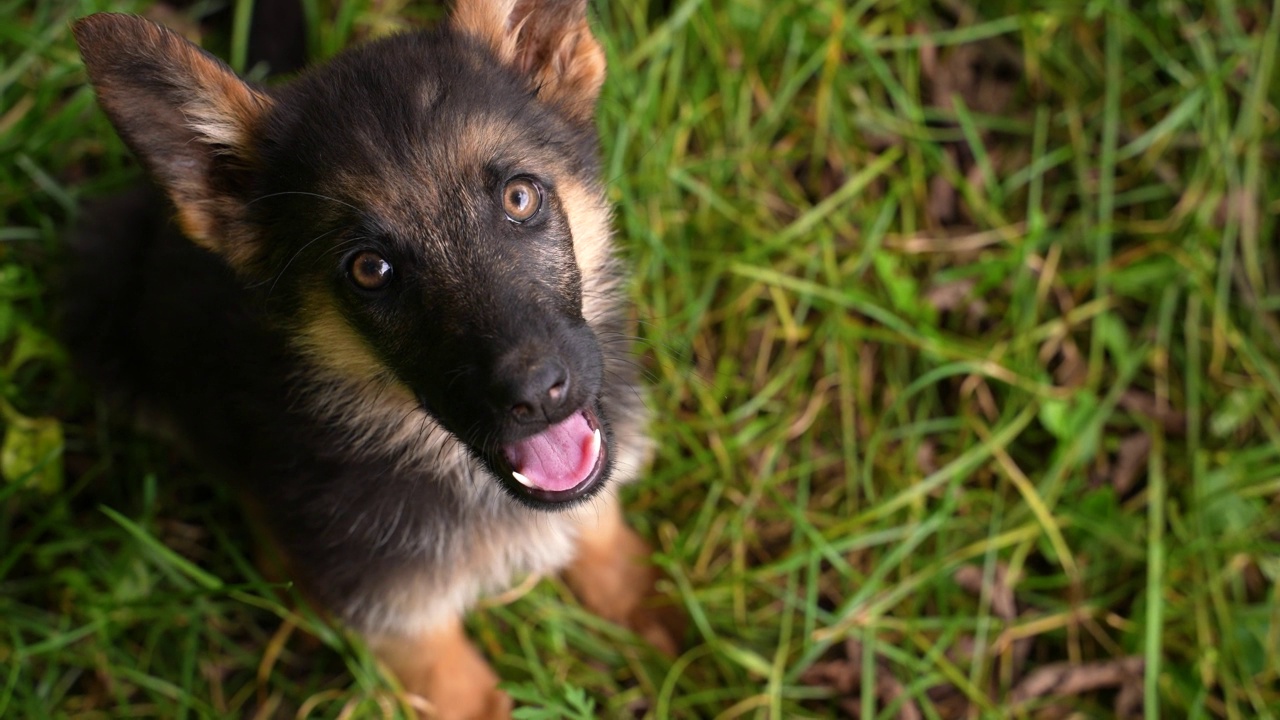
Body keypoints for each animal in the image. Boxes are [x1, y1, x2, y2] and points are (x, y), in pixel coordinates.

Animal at [63, 2, 680, 712]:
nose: (537, 393)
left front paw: (659, 615)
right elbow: (468, 696)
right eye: (369, 270)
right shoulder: (408, 628)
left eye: (520, 198)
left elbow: (605, 536)